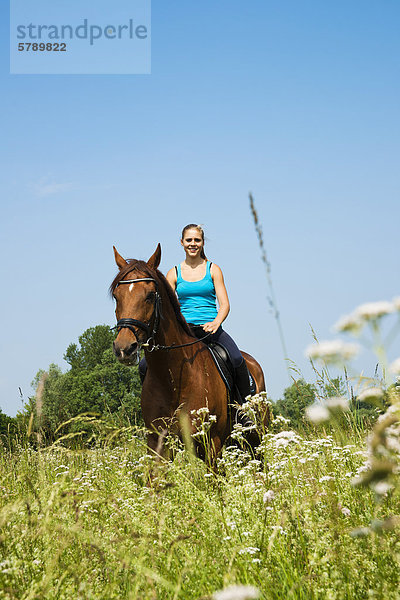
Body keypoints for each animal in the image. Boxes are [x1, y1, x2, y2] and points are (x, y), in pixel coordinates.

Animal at [110, 244, 266, 460]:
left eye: (150, 296)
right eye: (117, 296)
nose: (124, 348)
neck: (173, 378)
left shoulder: (211, 445)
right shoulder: (158, 445)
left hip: (256, 438)